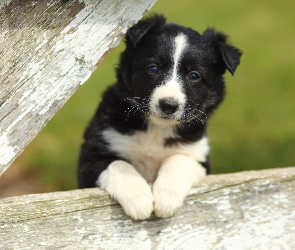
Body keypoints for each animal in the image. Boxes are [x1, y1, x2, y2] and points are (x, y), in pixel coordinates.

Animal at [78, 14, 243, 220]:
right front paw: (139, 199)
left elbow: (178, 160)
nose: (168, 105)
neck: (157, 129)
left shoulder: (199, 157)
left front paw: (166, 198)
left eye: (194, 76)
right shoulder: (91, 157)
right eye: (153, 68)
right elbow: (119, 164)